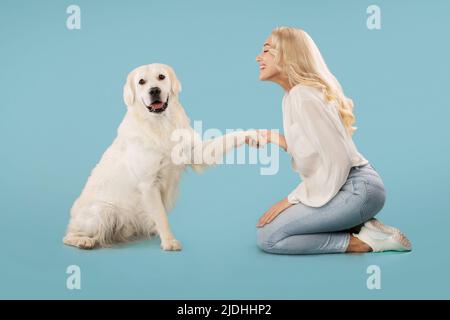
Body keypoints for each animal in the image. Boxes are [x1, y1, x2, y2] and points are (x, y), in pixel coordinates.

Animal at [62, 63, 260, 251]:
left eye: (161, 77)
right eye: (141, 81)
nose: (154, 90)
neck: (161, 124)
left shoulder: (196, 154)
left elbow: (228, 138)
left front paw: (253, 135)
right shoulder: (148, 184)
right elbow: (161, 216)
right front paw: (169, 241)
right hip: (104, 211)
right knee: (68, 236)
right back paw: (84, 241)